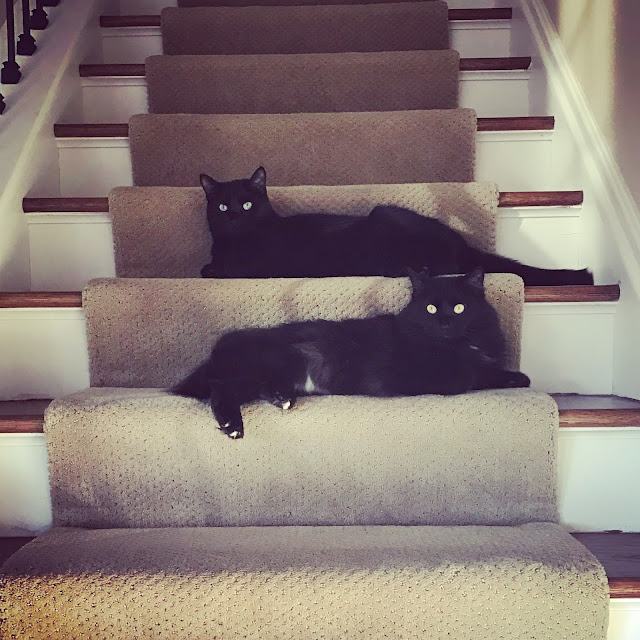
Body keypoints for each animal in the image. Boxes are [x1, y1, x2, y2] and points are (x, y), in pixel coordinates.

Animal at [172, 267, 530, 439]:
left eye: (459, 308)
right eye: (430, 308)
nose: (444, 323)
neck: (453, 345)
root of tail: (220, 347)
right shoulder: (439, 375)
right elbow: (478, 375)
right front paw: (518, 378)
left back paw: (281, 399)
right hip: (266, 366)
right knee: (220, 390)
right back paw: (233, 426)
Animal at [198, 167, 594, 286]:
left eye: (247, 204)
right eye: (222, 206)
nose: (233, 217)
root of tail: (461, 242)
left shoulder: (256, 267)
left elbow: (214, 270)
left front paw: (212, 268)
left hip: (386, 217)